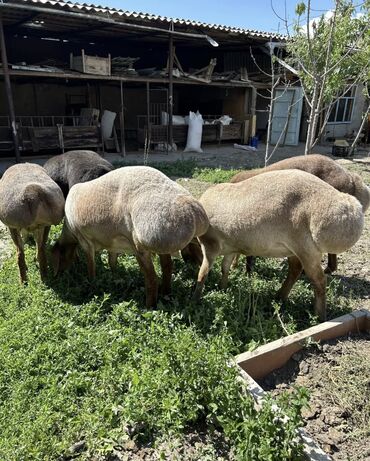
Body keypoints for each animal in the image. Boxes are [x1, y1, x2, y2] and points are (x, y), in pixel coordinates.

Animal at [50, 164, 210, 306]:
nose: (58, 277)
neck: (70, 231)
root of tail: (194, 212)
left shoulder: (86, 242)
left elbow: (91, 267)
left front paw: (92, 285)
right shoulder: (112, 244)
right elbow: (112, 261)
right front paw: (115, 276)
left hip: (142, 245)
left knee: (152, 278)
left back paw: (149, 306)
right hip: (168, 245)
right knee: (167, 267)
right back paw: (165, 293)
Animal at [194, 169, 364, 320]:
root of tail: (346, 203)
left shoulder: (210, 245)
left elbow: (203, 272)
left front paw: (196, 297)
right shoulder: (230, 248)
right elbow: (225, 268)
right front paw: (222, 288)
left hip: (306, 249)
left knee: (319, 280)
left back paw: (319, 315)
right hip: (295, 249)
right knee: (295, 270)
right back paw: (279, 297)